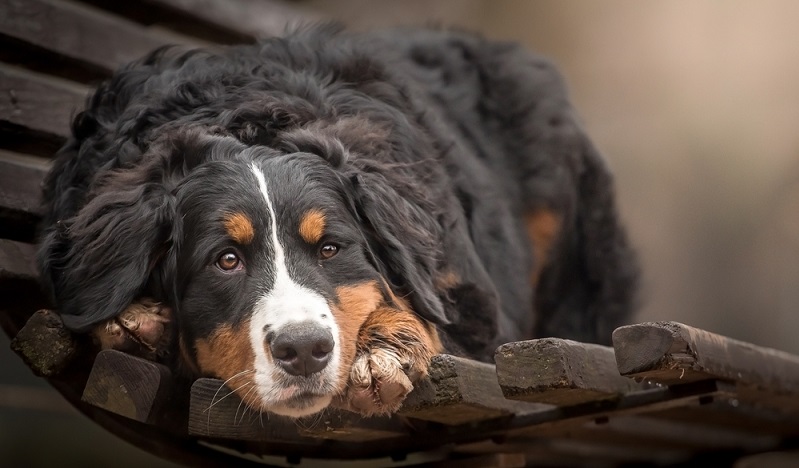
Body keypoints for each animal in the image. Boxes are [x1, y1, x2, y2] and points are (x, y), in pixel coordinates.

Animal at [37, 23, 640, 418]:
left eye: (330, 248)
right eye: (226, 260)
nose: (304, 350)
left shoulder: (475, 306)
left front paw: (383, 353)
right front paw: (133, 318)